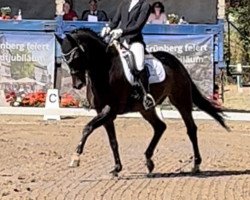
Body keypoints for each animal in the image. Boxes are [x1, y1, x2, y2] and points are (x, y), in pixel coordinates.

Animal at [56, 28, 229, 177]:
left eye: (75, 57)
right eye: (65, 58)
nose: (77, 84)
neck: (104, 70)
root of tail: (177, 62)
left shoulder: (110, 110)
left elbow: (87, 127)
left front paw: (75, 157)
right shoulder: (103, 112)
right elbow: (113, 141)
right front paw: (116, 168)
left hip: (181, 100)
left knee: (191, 129)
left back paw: (196, 164)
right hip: (145, 108)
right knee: (160, 127)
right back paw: (149, 161)